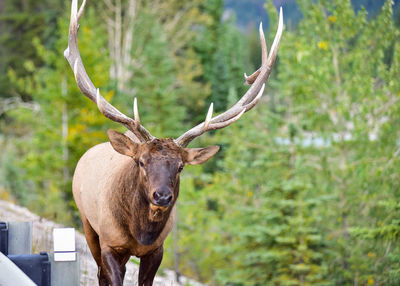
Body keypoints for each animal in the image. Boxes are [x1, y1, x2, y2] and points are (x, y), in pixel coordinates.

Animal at [64, 0, 282, 286]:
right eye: (141, 162)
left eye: (180, 166)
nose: (162, 196)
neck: (140, 233)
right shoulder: (110, 245)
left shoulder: (157, 250)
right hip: (88, 224)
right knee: (99, 272)